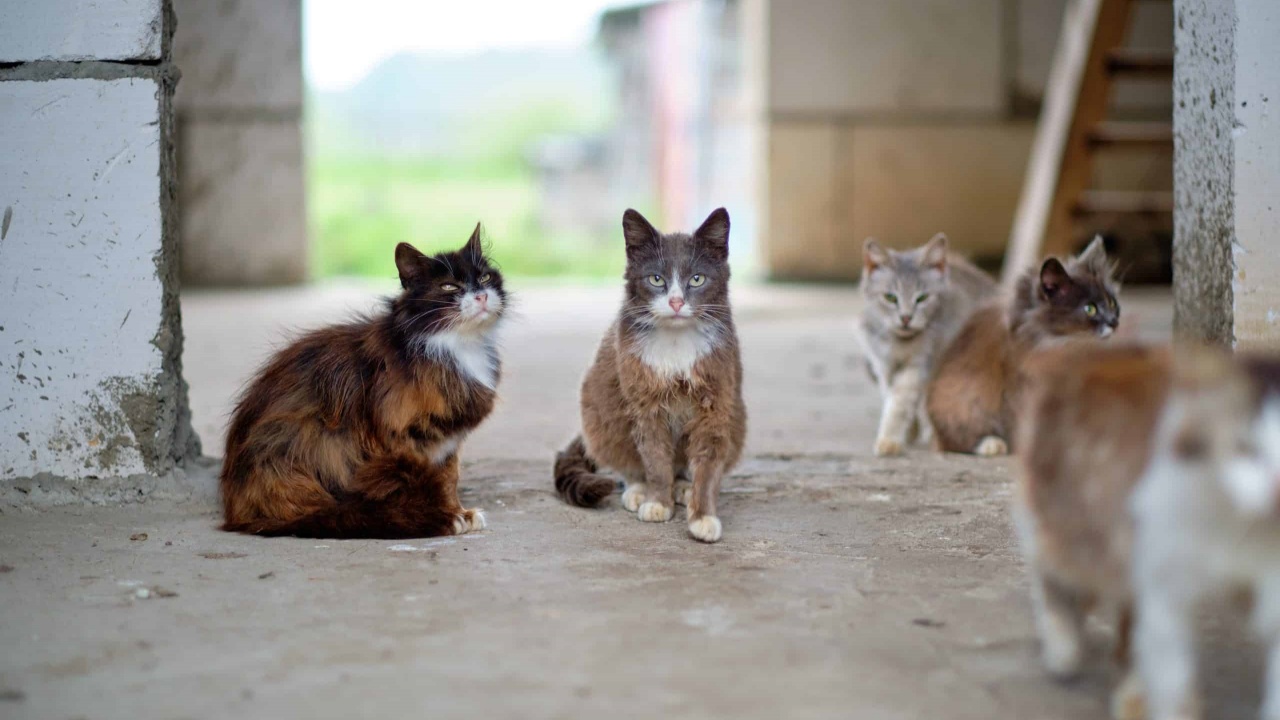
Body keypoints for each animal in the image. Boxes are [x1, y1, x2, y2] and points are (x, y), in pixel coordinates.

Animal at [220, 226, 504, 535]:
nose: (481, 296)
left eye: (485, 278)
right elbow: (423, 484)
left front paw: (457, 511)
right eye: (449, 287)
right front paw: (443, 517)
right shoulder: (398, 439)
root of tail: (235, 512)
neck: (458, 346)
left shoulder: (448, 443)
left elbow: (449, 478)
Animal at [552, 204, 747, 540]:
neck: (676, 342)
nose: (676, 301)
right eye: (656, 279)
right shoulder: (645, 403)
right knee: (624, 458)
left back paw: (683, 486)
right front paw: (658, 502)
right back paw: (638, 490)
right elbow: (654, 458)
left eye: (697, 279)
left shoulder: (717, 401)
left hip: (738, 418)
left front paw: (702, 516)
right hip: (599, 410)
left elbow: (709, 462)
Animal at [860, 233, 998, 453]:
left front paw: (890, 439)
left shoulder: (920, 364)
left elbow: (899, 402)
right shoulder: (884, 366)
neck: (901, 344)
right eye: (890, 297)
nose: (906, 318)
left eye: (922, 298)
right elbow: (894, 396)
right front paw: (909, 432)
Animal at [926, 238, 1116, 456]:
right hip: (961, 401)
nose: (1113, 321)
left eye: (1112, 303)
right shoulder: (1021, 389)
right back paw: (992, 445)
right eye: (1089, 309)